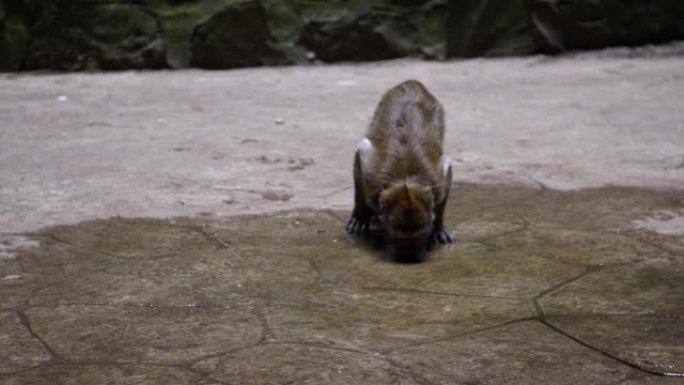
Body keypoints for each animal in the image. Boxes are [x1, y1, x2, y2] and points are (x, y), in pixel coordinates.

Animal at [348, 79, 454, 260]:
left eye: (421, 231)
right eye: (399, 233)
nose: (409, 255)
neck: (406, 177)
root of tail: (412, 83)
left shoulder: (439, 180)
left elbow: (447, 168)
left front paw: (438, 227)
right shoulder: (370, 179)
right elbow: (361, 154)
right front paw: (360, 214)